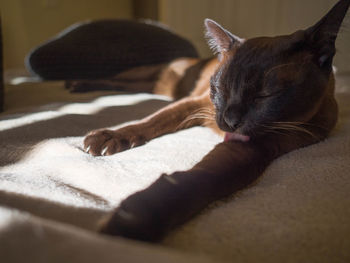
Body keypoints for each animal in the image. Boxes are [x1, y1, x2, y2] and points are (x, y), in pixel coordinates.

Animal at [81, 0, 348, 243]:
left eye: (265, 95)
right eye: (220, 89)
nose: (229, 121)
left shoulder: (256, 147)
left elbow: (205, 177)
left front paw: (135, 219)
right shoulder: (193, 105)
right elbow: (151, 121)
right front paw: (108, 139)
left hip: (159, 87)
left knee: (127, 84)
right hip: (154, 79)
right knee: (118, 79)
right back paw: (79, 85)